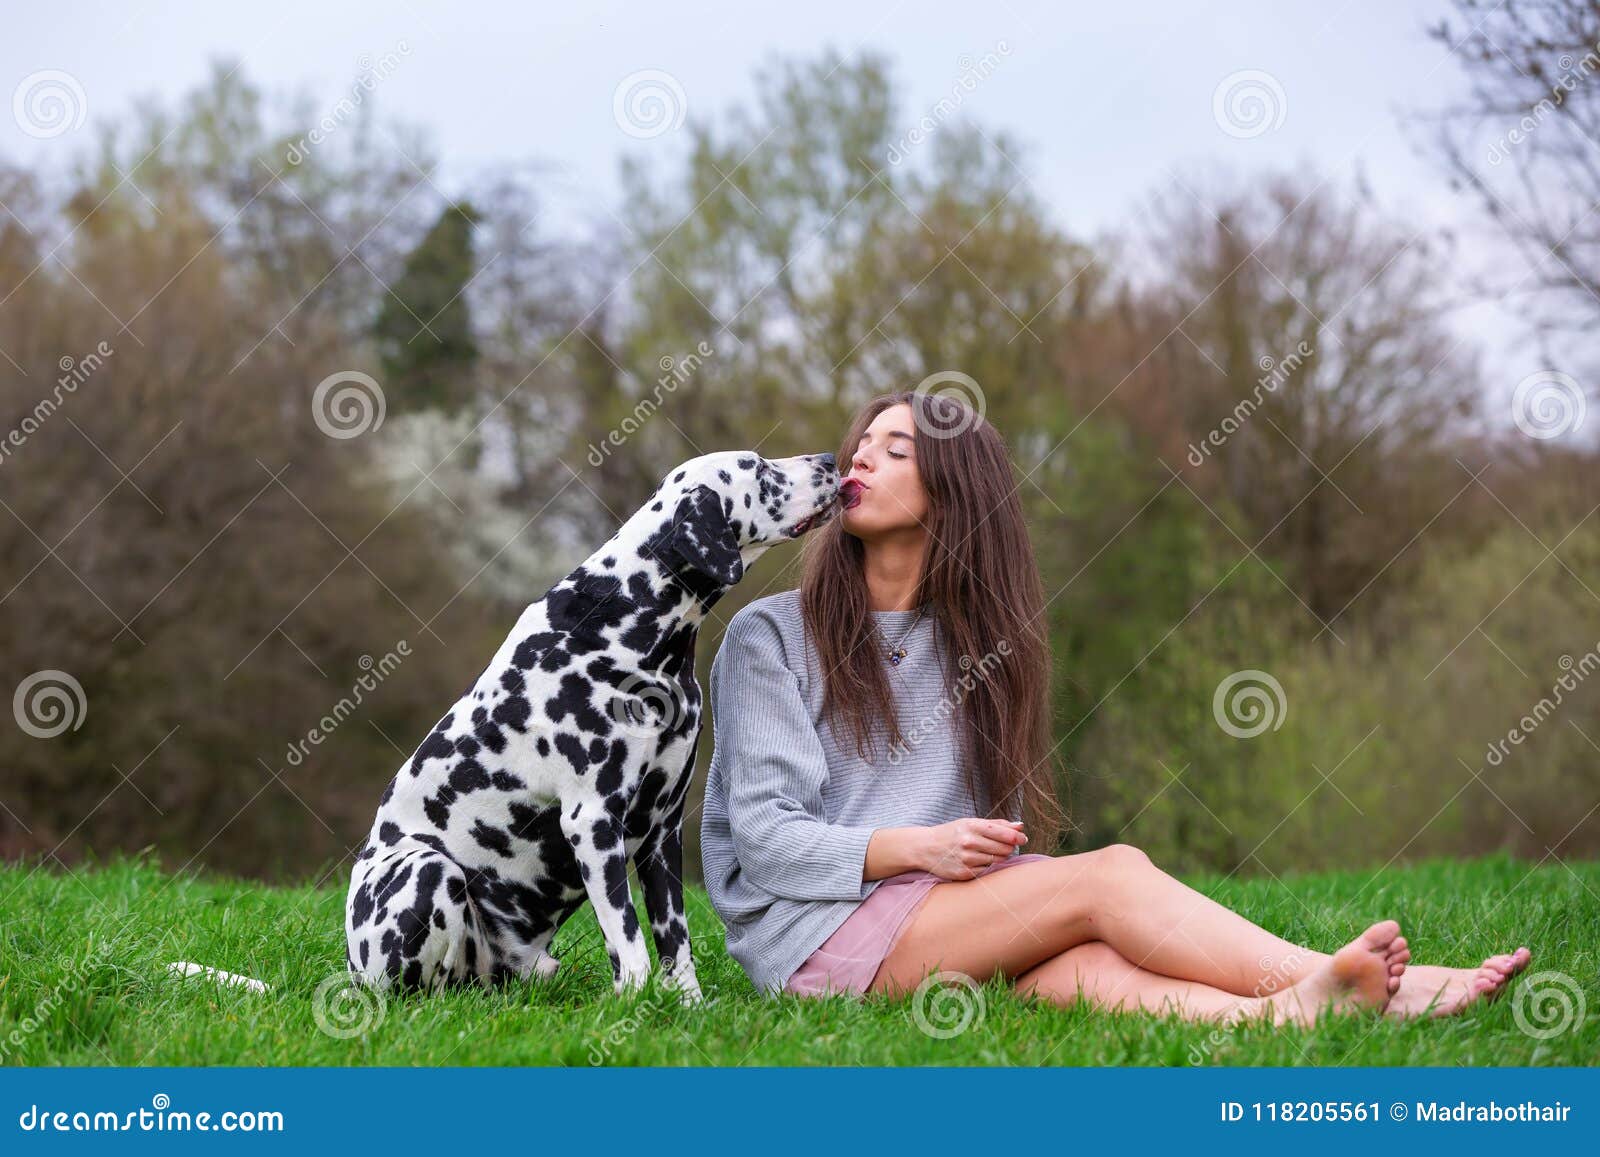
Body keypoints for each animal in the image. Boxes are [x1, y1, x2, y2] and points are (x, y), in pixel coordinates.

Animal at [345, 448, 844, 998]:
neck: (634, 624)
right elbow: (629, 940)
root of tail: (353, 966)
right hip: (426, 870)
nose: (829, 459)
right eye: (757, 467)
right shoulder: (593, 821)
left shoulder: (662, 830)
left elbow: (675, 940)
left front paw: (686, 1004)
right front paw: (638, 999)